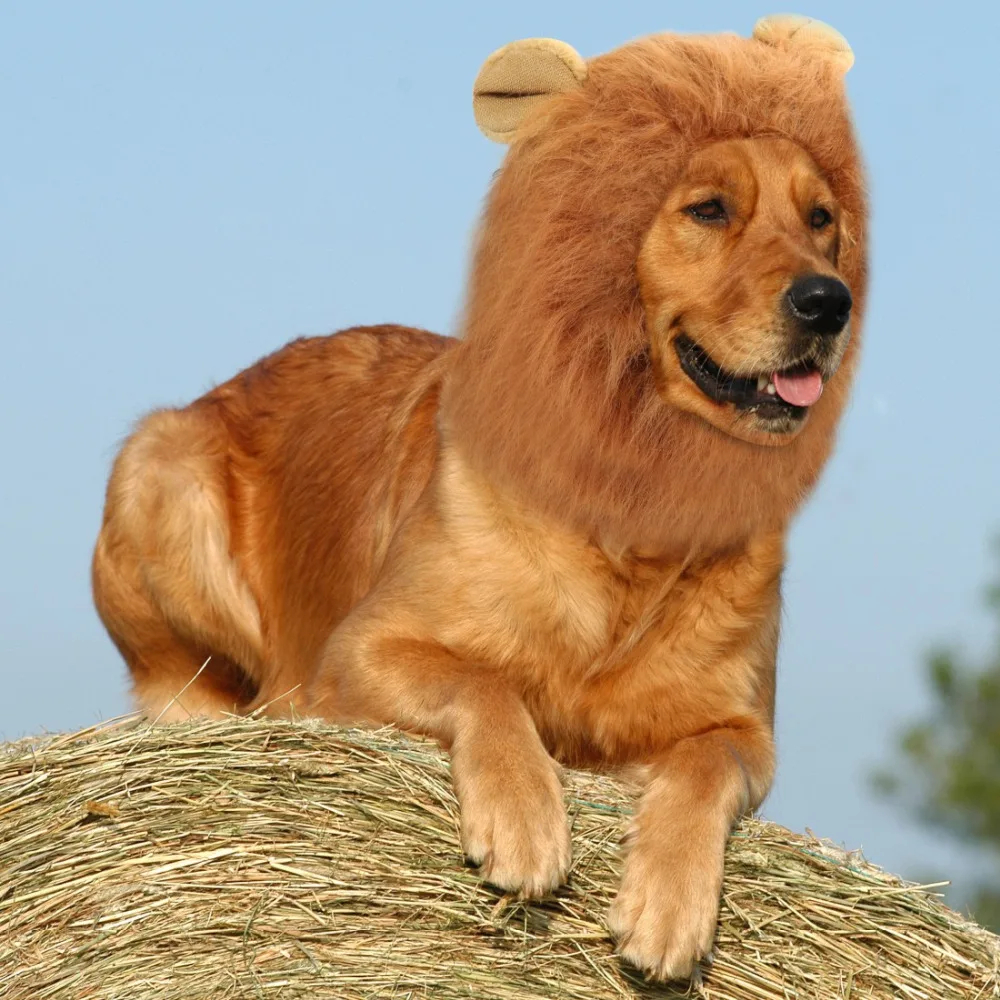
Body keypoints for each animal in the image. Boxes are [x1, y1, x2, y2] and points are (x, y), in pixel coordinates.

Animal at [91, 15, 866, 981]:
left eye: (820, 219)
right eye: (709, 209)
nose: (829, 302)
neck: (629, 522)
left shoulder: (741, 728)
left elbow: (705, 764)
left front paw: (669, 903)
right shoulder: (362, 647)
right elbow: (487, 683)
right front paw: (524, 815)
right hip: (162, 472)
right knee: (193, 691)